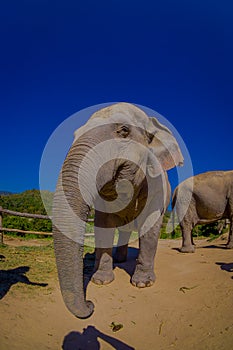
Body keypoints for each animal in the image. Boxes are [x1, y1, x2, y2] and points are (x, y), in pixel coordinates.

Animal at [52, 102, 184, 318]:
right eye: (75, 135)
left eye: (124, 130)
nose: (90, 304)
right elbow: (103, 223)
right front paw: (100, 280)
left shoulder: (156, 184)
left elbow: (150, 224)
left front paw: (142, 284)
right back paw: (120, 260)